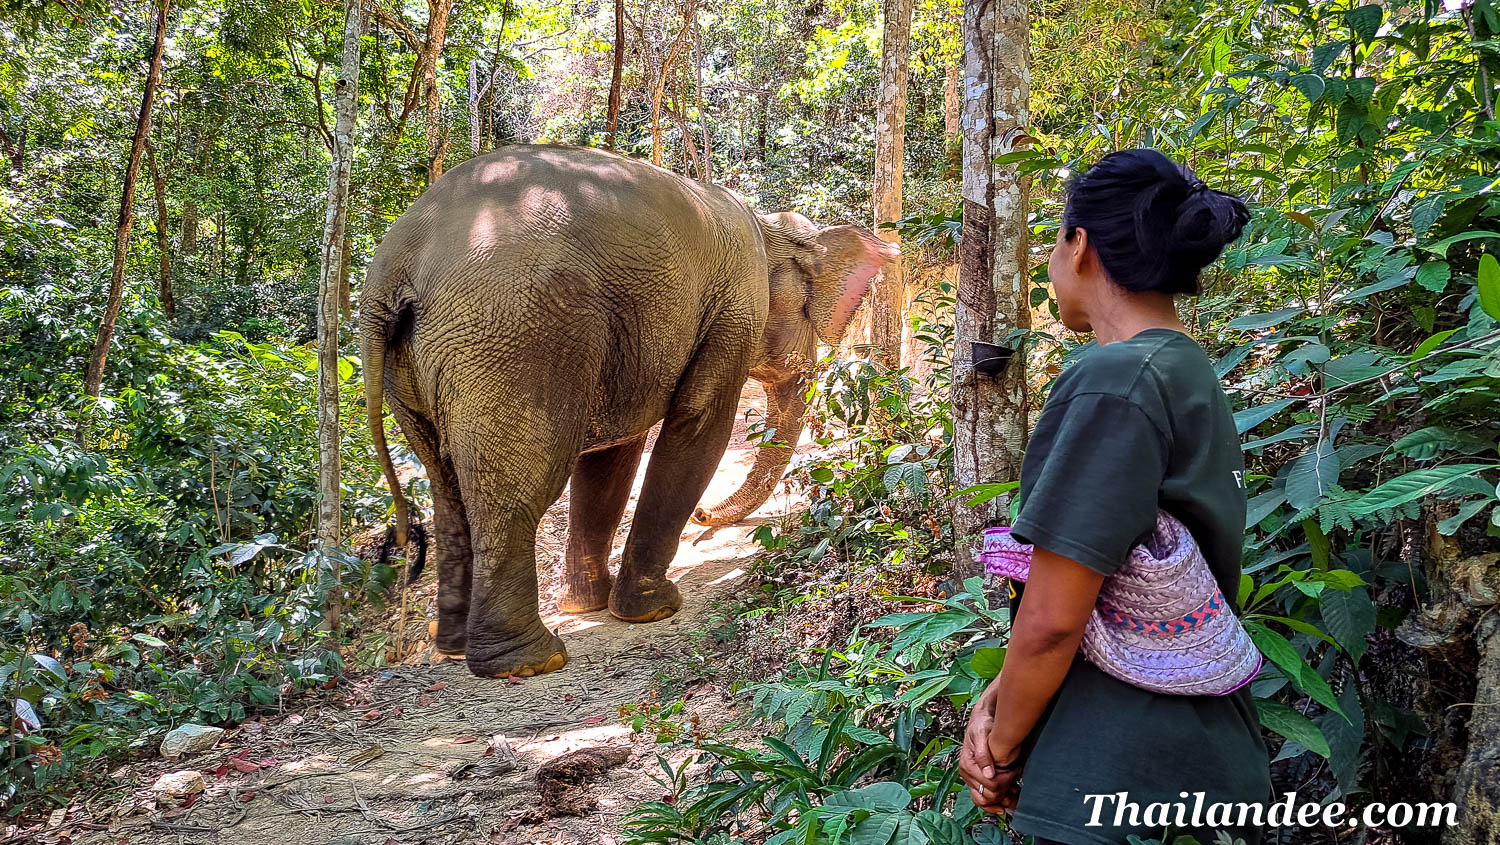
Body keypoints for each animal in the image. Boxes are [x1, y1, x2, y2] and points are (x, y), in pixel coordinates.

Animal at [364, 141, 894, 678]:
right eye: (808, 313)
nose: (705, 516)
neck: (768, 227)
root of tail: (393, 264)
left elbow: (613, 456)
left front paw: (587, 605)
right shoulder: (734, 307)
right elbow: (699, 423)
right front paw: (655, 609)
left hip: (417, 368)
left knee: (446, 487)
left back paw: (451, 645)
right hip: (512, 337)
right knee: (516, 492)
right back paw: (530, 662)